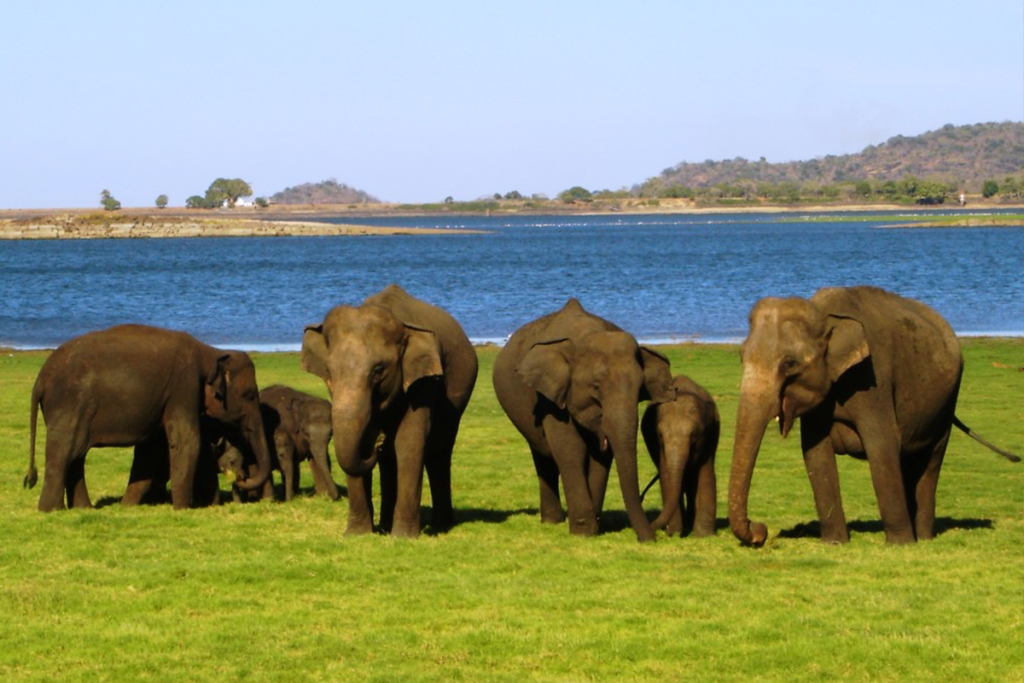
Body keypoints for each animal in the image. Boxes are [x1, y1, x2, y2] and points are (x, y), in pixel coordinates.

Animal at [24, 325, 272, 511]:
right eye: (250, 395)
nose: (239, 478)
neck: (210, 352)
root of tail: (40, 379)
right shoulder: (183, 385)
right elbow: (187, 440)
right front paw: (182, 508)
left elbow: (151, 450)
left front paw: (126, 506)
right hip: (70, 405)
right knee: (63, 453)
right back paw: (51, 510)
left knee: (76, 456)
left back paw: (83, 508)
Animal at [301, 284, 477, 540]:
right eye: (330, 371)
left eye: (378, 370)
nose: (377, 442)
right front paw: (356, 535)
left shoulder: (423, 382)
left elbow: (409, 441)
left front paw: (403, 537)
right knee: (390, 460)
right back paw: (385, 524)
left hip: (459, 395)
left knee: (439, 450)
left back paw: (440, 524)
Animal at [491, 299, 675, 544]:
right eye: (595, 387)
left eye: (640, 389)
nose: (649, 539)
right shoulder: (550, 397)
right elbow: (571, 450)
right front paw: (583, 531)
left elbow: (600, 458)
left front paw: (594, 526)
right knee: (543, 453)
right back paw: (552, 521)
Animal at [638, 374, 720, 540]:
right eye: (660, 435)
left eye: (694, 436)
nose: (652, 530)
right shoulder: (658, 444)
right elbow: (666, 476)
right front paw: (674, 533)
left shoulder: (711, 434)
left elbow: (706, 474)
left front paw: (703, 536)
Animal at [733, 286, 1019, 548]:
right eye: (741, 355)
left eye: (789, 364)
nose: (760, 531)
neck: (824, 313)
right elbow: (815, 452)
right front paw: (835, 543)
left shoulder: (873, 378)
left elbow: (881, 444)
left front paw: (900, 545)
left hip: (947, 401)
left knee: (931, 458)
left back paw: (923, 537)